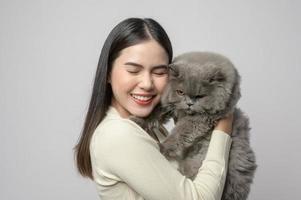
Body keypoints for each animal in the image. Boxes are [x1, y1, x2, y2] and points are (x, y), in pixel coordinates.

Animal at [131, 51, 255, 200]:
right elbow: (153, 112)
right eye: (180, 92)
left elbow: (180, 132)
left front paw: (163, 147)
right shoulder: (169, 105)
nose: (189, 103)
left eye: (200, 96)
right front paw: (137, 120)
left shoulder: (201, 118)